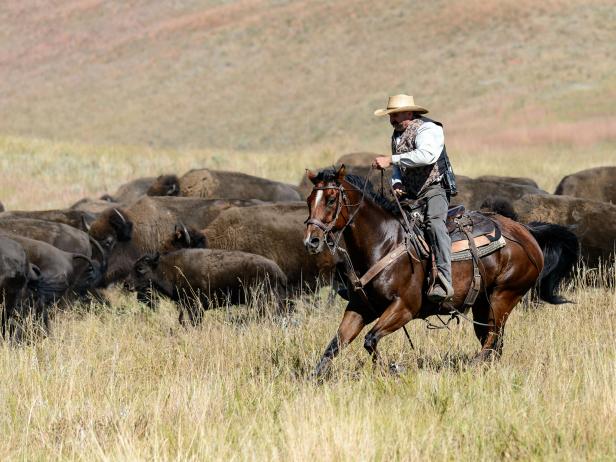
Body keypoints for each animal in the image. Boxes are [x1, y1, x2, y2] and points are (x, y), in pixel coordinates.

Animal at [304, 168, 572, 378]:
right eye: (309, 200)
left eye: (331, 200)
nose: (311, 241)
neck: (385, 243)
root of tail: (526, 231)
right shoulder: (360, 307)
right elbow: (336, 344)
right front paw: (313, 378)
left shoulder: (404, 308)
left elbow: (370, 340)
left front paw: (394, 369)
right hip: (483, 303)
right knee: (494, 341)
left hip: (503, 296)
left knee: (492, 339)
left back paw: (474, 365)